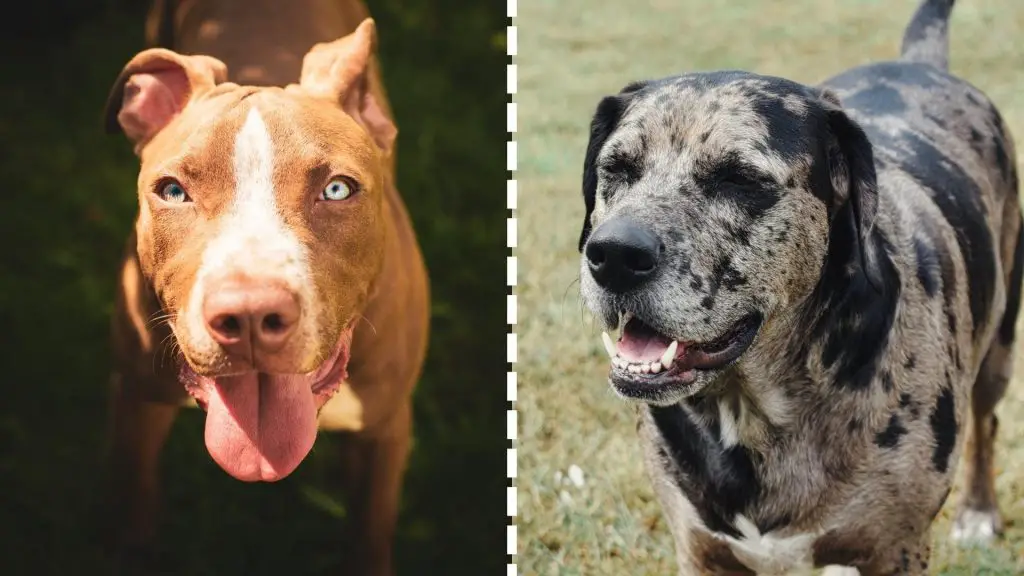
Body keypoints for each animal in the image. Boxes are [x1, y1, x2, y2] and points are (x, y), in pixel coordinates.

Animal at [100, 2, 428, 569]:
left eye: (337, 189)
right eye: (172, 191)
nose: (250, 316)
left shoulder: (387, 428)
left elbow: (370, 532)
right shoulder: (137, 399)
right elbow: (136, 497)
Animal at [577, 1, 1024, 573]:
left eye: (739, 178)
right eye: (617, 168)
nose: (615, 255)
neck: (755, 411)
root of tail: (920, 63)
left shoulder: (896, 550)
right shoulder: (700, 550)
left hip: (998, 349)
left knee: (987, 424)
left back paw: (979, 511)